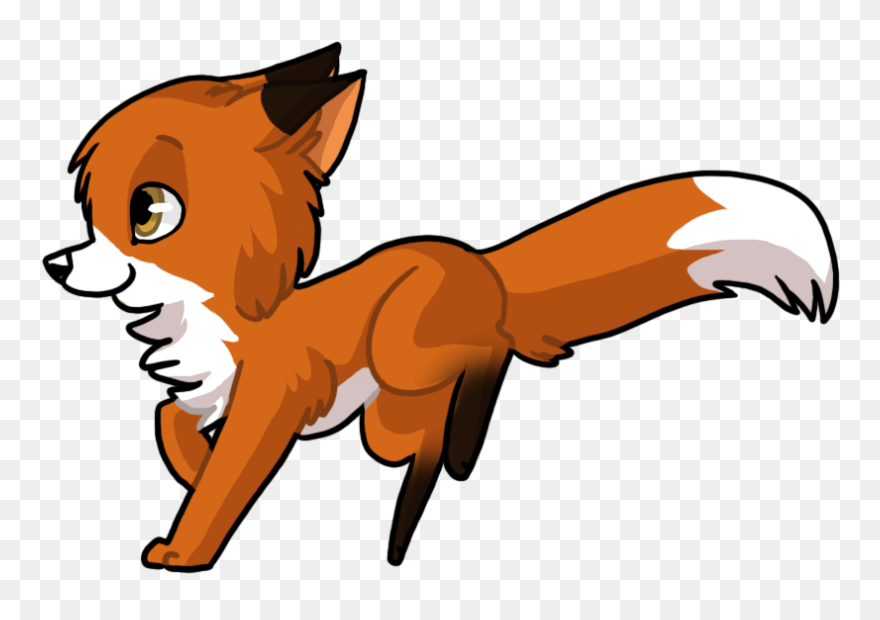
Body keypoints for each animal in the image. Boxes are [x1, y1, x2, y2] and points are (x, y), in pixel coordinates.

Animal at [42, 43, 839, 572]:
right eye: (86, 207)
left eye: (148, 212)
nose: (55, 264)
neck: (234, 316)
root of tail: (478, 260)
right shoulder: (207, 390)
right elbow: (168, 422)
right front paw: (188, 467)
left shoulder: (271, 400)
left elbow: (222, 485)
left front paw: (186, 547)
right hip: (388, 408)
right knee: (418, 420)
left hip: (404, 348)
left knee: (487, 353)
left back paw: (456, 449)